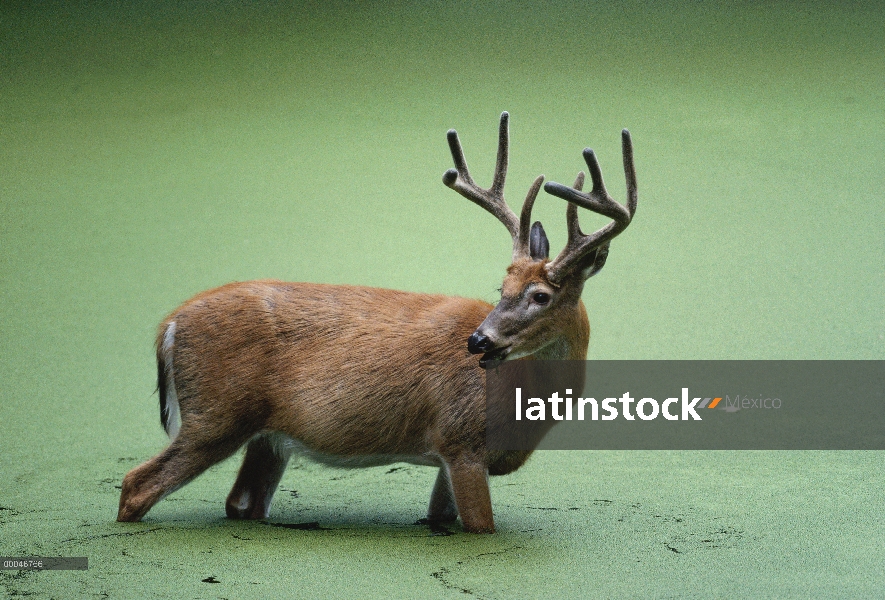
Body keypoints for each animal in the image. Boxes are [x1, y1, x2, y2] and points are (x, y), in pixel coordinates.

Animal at [117, 112, 640, 536]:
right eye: (501, 286)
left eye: (539, 295)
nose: (477, 340)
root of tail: (168, 324)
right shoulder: (461, 439)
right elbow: (483, 528)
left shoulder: (449, 458)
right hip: (215, 416)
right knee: (135, 485)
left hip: (266, 438)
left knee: (241, 503)